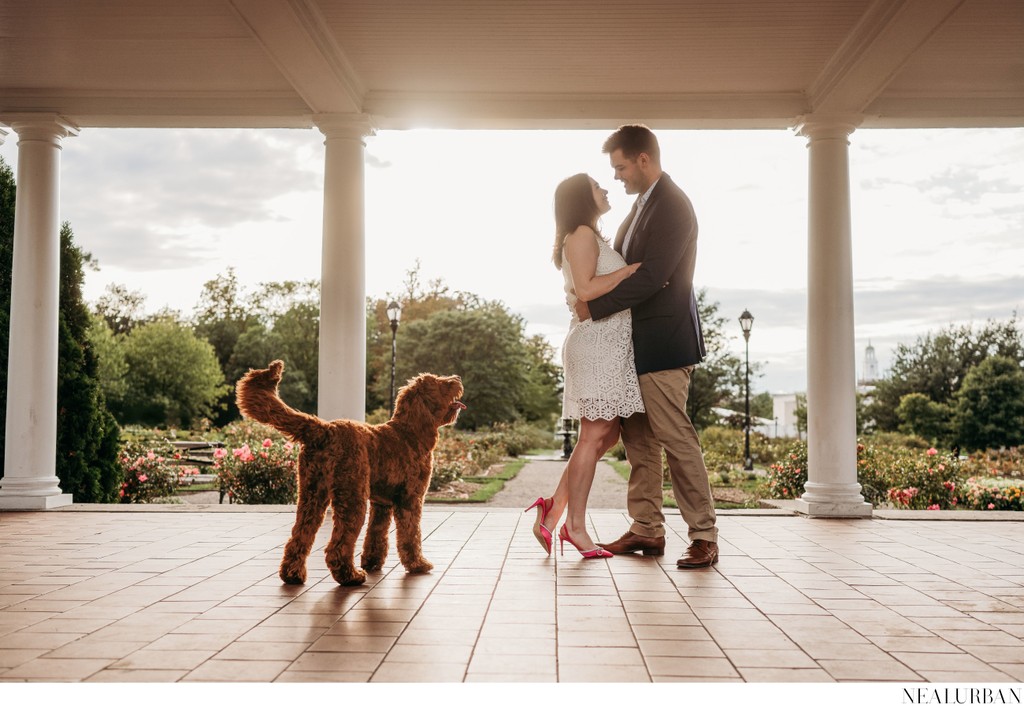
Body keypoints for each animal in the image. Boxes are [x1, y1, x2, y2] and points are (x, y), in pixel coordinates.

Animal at [235, 360, 464, 586]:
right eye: (440, 383)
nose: (457, 378)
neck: (410, 433)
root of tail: (324, 430)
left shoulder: (382, 503)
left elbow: (376, 534)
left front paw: (372, 562)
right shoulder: (410, 499)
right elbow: (411, 534)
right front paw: (418, 564)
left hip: (312, 494)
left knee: (299, 536)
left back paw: (293, 574)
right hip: (352, 496)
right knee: (337, 546)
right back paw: (350, 576)